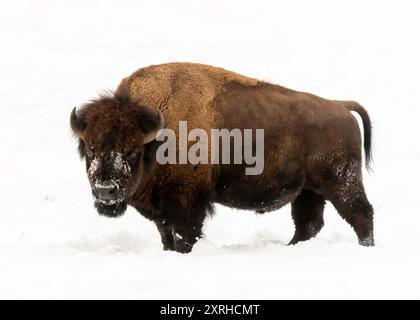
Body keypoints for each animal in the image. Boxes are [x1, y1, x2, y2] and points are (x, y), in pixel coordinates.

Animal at [70, 62, 376, 252]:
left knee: (360, 214)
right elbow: (166, 233)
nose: (105, 191)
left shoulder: (186, 200)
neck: (158, 135)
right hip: (308, 190)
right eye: (91, 147)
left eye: (132, 150)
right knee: (308, 224)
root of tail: (340, 106)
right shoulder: (162, 207)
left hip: (340, 182)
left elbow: (185, 233)